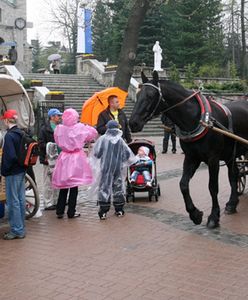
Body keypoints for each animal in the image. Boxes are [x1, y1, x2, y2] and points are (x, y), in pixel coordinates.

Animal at [129, 71, 248, 229]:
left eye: (150, 96)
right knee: (234, 175)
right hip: (231, 155)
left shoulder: (213, 159)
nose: (133, 123)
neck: (197, 119)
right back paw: (232, 204)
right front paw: (195, 214)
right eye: (138, 95)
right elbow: (183, 185)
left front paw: (213, 216)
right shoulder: (192, 157)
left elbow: (212, 187)